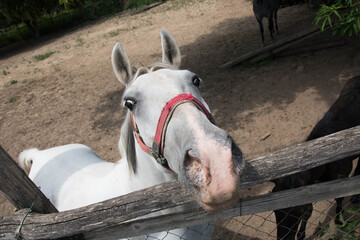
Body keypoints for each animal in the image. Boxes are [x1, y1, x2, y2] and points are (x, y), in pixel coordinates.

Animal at [272, 76, 360, 240]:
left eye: (297, 210)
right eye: (275, 210)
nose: (284, 238)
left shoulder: (342, 174)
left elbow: (339, 198)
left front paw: (339, 220)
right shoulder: (310, 186)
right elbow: (309, 210)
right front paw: (301, 235)